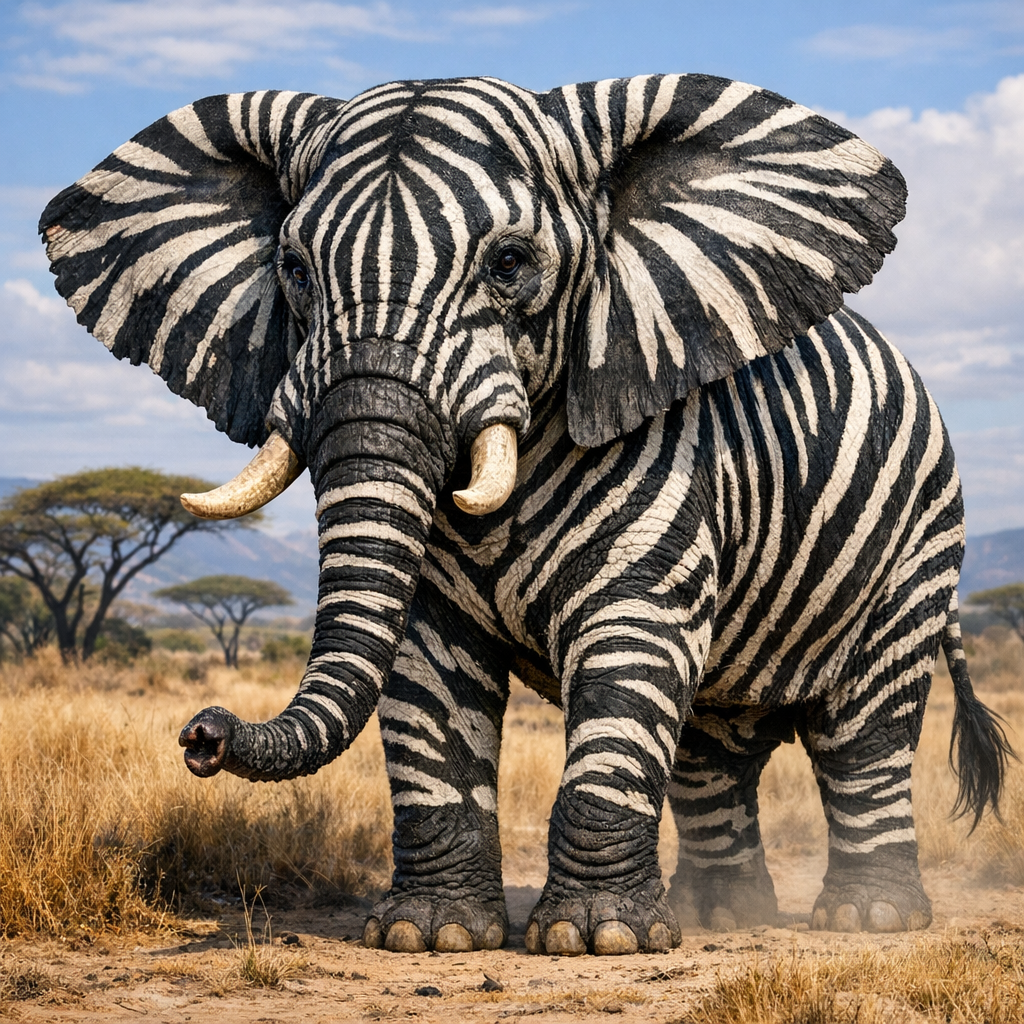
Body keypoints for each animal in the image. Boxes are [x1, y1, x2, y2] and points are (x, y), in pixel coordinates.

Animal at [40, 74, 1011, 956]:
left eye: (509, 265)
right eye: (293, 271)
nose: (201, 733)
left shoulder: (670, 457)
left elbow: (630, 657)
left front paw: (597, 940)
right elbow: (428, 685)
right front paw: (430, 936)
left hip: (917, 546)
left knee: (861, 733)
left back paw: (868, 921)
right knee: (707, 754)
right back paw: (723, 919)